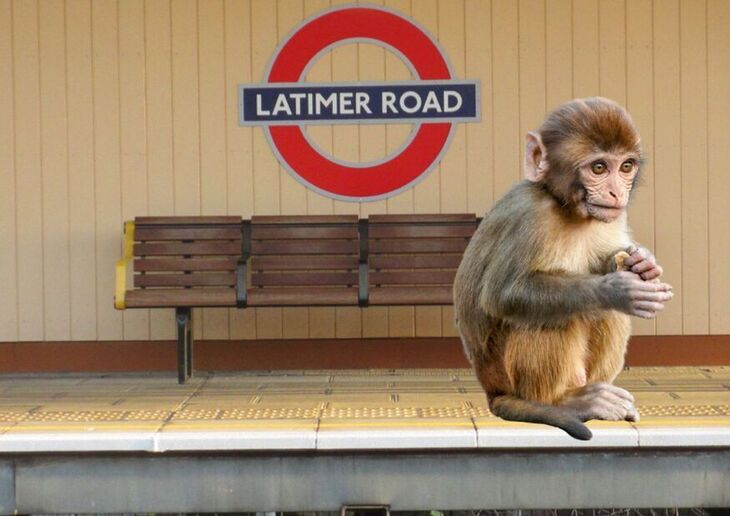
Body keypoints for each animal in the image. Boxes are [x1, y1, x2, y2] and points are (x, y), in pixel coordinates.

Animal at [453, 97, 674, 440]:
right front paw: (617, 289)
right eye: (599, 168)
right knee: (552, 316)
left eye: (626, 166)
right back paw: (564, 402)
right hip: (505, 375)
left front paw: (643, 263)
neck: (566, 206)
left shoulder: (614, 215)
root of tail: (492, 391)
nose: (616, 192)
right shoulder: (530, 216)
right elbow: (504, 295)